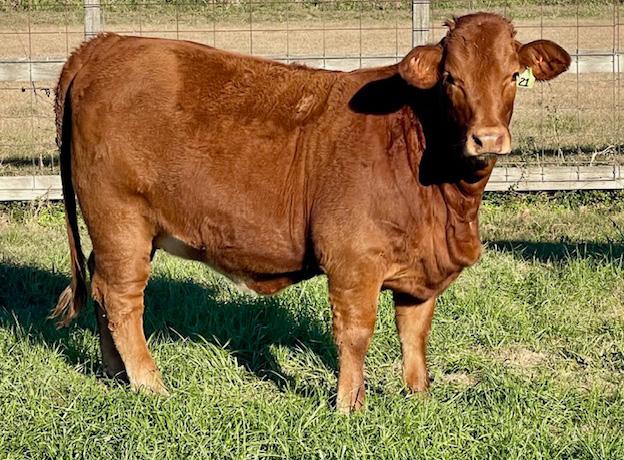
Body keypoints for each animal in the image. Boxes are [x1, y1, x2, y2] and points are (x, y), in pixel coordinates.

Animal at [52, 12, 570, 412]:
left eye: (512, 75)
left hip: (122, 232)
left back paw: (115, 374)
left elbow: (415, 333)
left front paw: (419, 399)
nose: (488, 138)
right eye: (451, 79)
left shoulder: (420, 269)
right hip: (121, 220)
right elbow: (355, 333)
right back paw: (151, 386)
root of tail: (107, 44)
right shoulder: (353, 261)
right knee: (122, 298)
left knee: (101, 290)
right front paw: (350, 407)